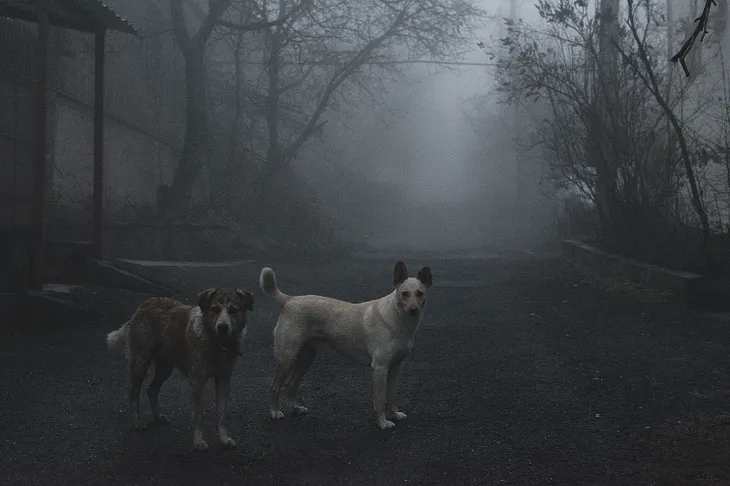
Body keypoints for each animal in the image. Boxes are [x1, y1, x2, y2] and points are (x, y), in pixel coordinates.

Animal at [105, 288, 253, 452]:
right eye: (215, 309)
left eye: (234, 310)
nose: (222, 327)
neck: (217, 345)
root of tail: (145, 304)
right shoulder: (197, 381)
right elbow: (197, 414)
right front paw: (198, 441)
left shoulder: (224, 380)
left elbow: (221, 414)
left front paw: (224, 439)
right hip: (140, 364)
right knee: (134, 393)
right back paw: (137, 422)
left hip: (165, 368)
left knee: (152, 390)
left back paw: (158, 417)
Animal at [260, 262, 432, 430]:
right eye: (404, 294)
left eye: (420, 293)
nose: (413, 310)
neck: (397, 319)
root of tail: (290, 299)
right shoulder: (380, 368)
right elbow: (380, 399)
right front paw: (383, 423)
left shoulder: (395, 367)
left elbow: (393, 396)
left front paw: (395, 415)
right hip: (287, 358)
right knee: (274, 386)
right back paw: (275, 412)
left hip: (306, 358)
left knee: (291, 384)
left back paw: (296, 408)